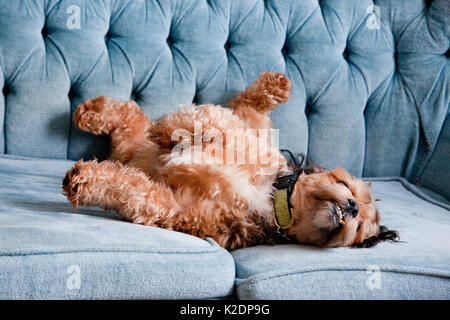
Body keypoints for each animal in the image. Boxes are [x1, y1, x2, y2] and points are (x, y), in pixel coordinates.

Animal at [61, 72, 400, 250]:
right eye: (344, 184)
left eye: (359, 228)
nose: (352, 207)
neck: (271, 199)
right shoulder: (244, 141)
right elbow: (210, 121)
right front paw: (172, 133)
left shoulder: (176, 206)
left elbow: (134, 190)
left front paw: (84, 180)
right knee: (248, 108)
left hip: (128, 146)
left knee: (130, 117)